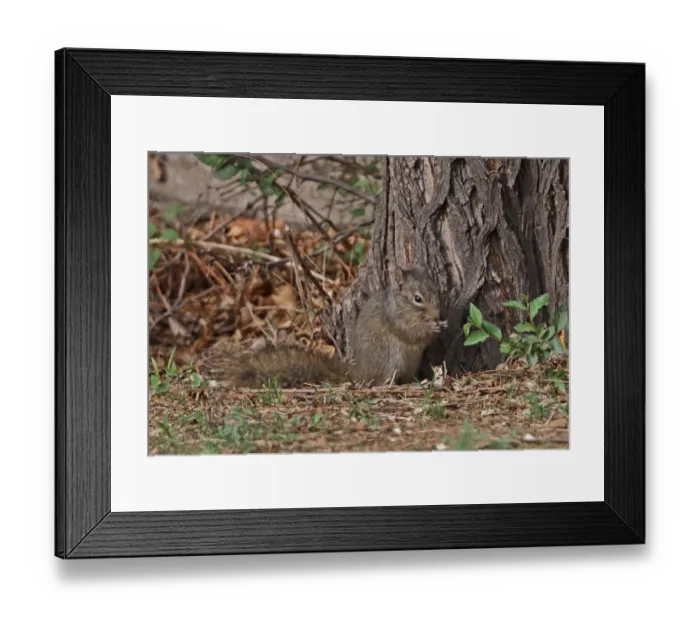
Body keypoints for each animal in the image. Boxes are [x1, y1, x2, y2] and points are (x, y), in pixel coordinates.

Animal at [202, 267, 448, 388]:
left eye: (437, 290)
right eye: (417, 298)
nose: (438, 314)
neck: (401, 304)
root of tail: (359, 371)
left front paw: (442, 324)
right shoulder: (395, 318)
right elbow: (411, 333)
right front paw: (432, 328)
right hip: (390, 357)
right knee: (380, 381)